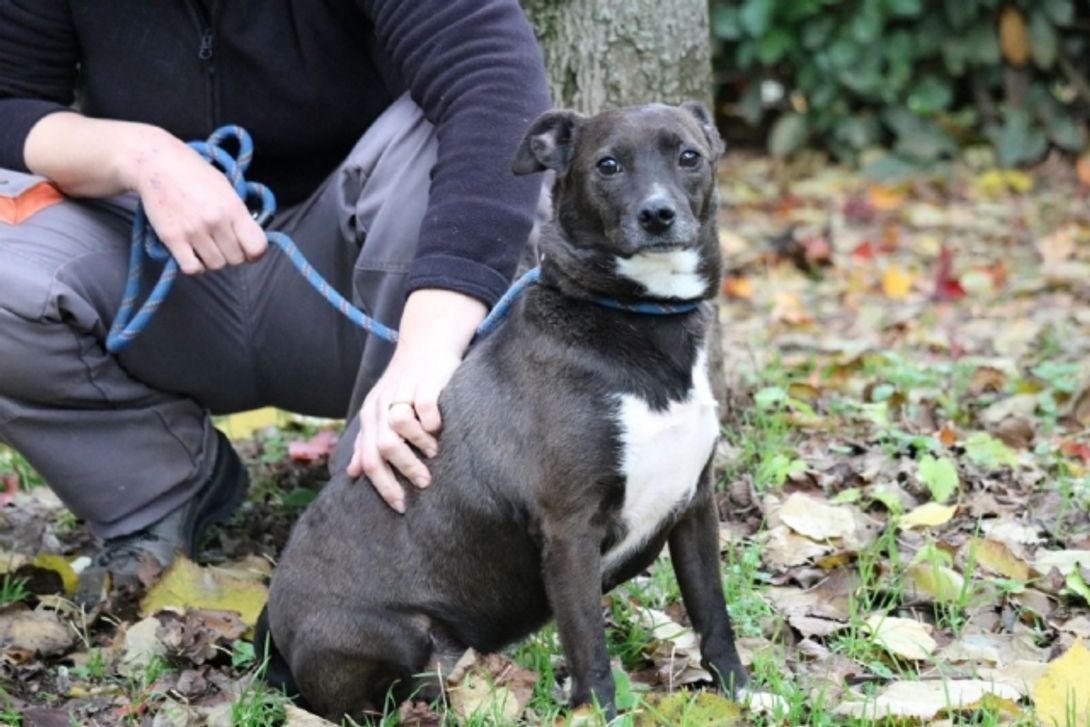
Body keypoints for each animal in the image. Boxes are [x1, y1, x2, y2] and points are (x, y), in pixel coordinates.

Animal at [258, 101, 746, 721]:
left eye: (689, 156)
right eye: (608, 165)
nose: (658, 214)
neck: (638, 321)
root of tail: (276, 634)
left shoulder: (695, 507)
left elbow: (714, 616)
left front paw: (747, 695)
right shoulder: (570, 532)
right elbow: (591, 651)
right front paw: (599, 715)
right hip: (400, 637)